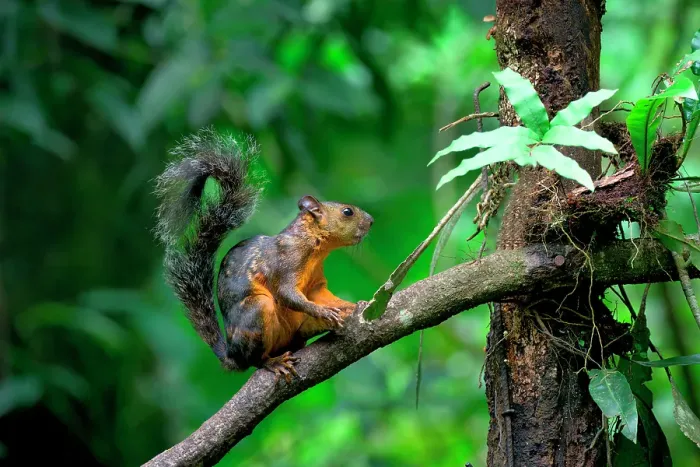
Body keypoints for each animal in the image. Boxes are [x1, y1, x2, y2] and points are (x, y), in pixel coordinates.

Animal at [153, 128, 373, 382]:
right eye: (347, 212)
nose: (371, 221)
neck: (314, 248)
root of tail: (232, 355)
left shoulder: (316, 283)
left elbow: (322, 295)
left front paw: (352, 305)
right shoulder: (286, 262)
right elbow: (288, 294)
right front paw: (323, 310)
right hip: (257, 312)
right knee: (256, 359)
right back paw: (273, 362)